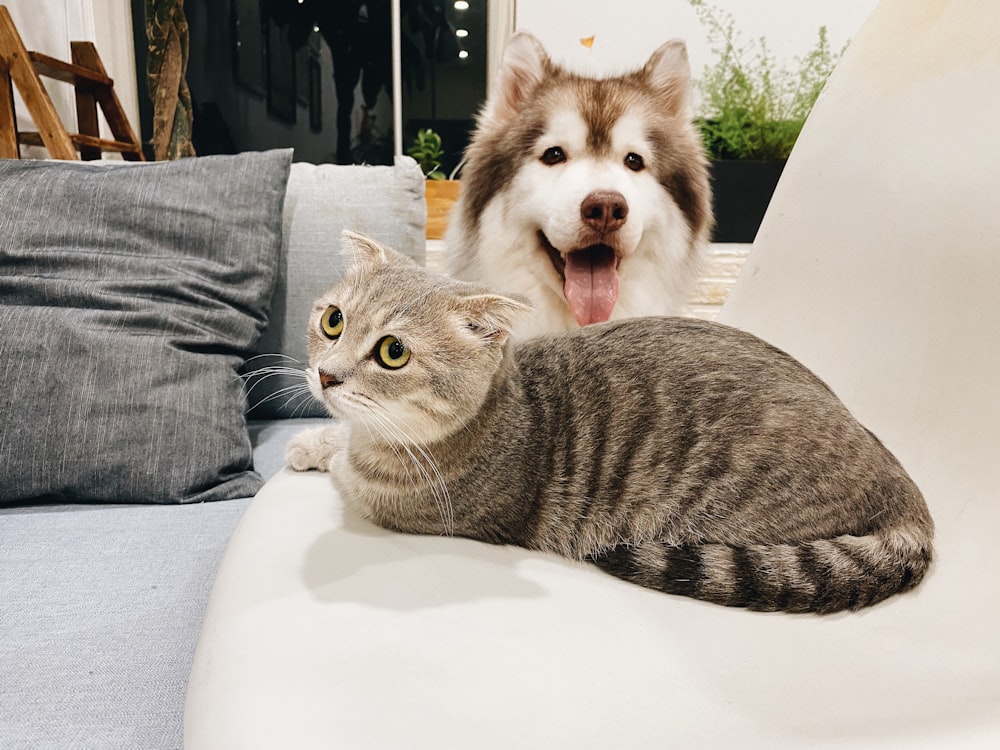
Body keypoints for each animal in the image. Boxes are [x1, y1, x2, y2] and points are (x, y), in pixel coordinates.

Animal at [286, 232, 932, 612]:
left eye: (392, 352)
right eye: (334, 320)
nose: (326, 376)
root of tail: (901, 486)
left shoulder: (400, 507)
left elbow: (348, 469)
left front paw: (327, 450)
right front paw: (311, 441)